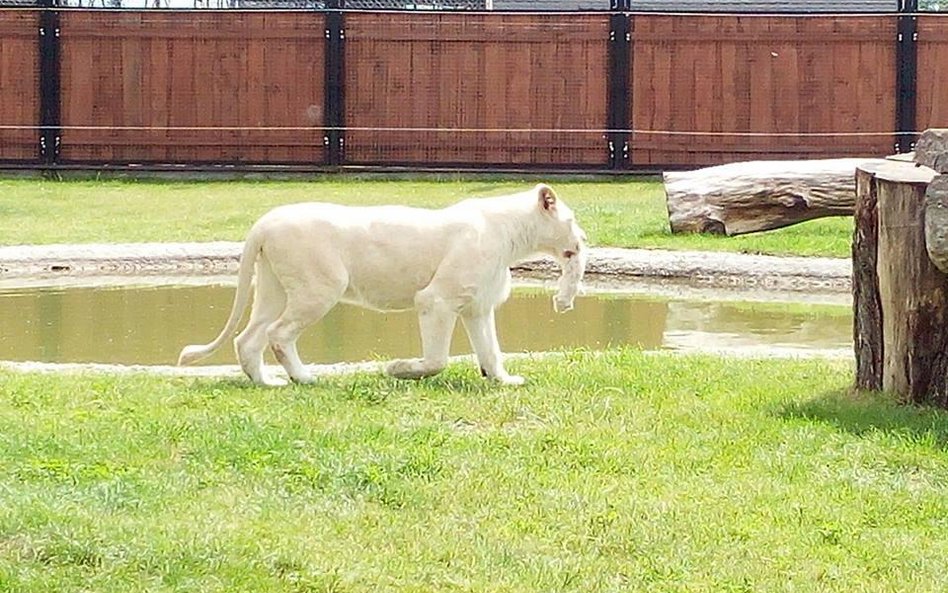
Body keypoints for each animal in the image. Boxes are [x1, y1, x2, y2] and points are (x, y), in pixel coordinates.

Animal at [177, 185, 584, 388]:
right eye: (572, 219)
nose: (583, 238)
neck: (514, 235)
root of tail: (264, 222)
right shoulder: (436, 300)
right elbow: (437, 360)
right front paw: (398, 369)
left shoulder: (477, 307)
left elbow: (491, 351)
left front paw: (504, 380)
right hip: (319, 288)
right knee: (278, 334)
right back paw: (304, 378)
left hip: (273, 290)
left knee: (248, 338)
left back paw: (265, 381)